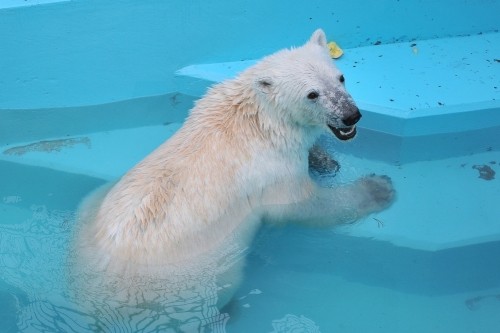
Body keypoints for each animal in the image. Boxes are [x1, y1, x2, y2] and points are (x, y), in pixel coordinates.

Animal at [69, 28, 394, 330]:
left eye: (341, 78)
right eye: (312, 94)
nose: (351, 116)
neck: (258, 119)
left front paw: (323, 159)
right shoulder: (274, 172)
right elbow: (304, 205)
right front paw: (378, 188)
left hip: (91, 208)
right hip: (201, 276)